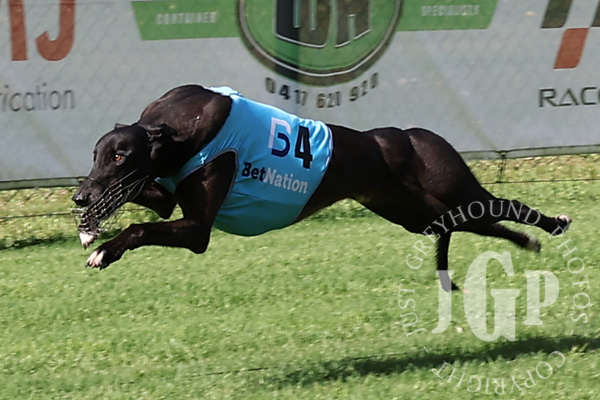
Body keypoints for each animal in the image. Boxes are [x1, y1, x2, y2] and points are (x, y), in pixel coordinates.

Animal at [72, 85, 572, 290]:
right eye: (96, 154)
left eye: (119, 156)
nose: (80, 196)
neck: (176, 129)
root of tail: (412, 134)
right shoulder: (166, 195)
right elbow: (147, 203)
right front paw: (90, 227)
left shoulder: (197, 230)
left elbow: (141, 227)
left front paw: (104, 251)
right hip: (420, 215)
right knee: (481, 223)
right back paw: (527, 242)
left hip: (454, 187)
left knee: (505, 205)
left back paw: (554, 223)